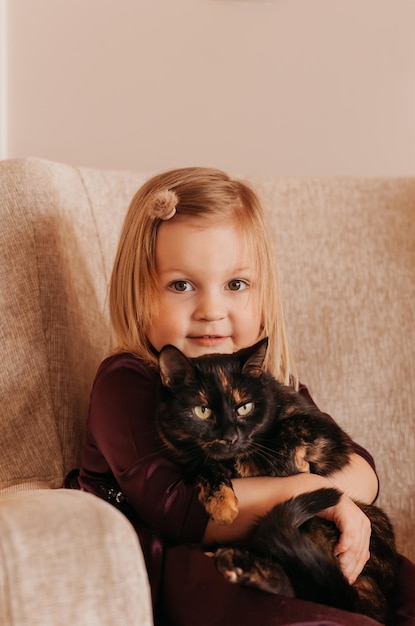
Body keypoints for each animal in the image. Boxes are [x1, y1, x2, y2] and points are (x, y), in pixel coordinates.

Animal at [156, 338, 400, 620]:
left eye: (245, 407)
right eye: (202, 411)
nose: (230, 437)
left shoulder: (331, 438)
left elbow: (290, 428)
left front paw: (277, 462)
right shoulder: (187, 459)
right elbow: (205, 467)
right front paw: (222, 505)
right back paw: (239, 567)